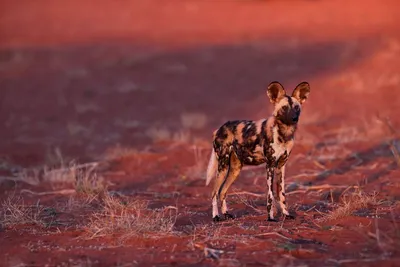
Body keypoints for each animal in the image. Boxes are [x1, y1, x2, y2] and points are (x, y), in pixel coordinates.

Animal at [205, 81, 310, 222]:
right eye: (284, 108)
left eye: (296, 107)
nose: (294, 118)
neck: (284, 133)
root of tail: (219, 129)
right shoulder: (270, 165)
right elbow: (270, 195)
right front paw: (271, 217)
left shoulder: (281, 166)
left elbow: (281, 194)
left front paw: (286, 214)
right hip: (222, 166)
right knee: (214, 192)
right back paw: (215, 216)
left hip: (235, 169)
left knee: (222, 191)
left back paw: (226, 214)